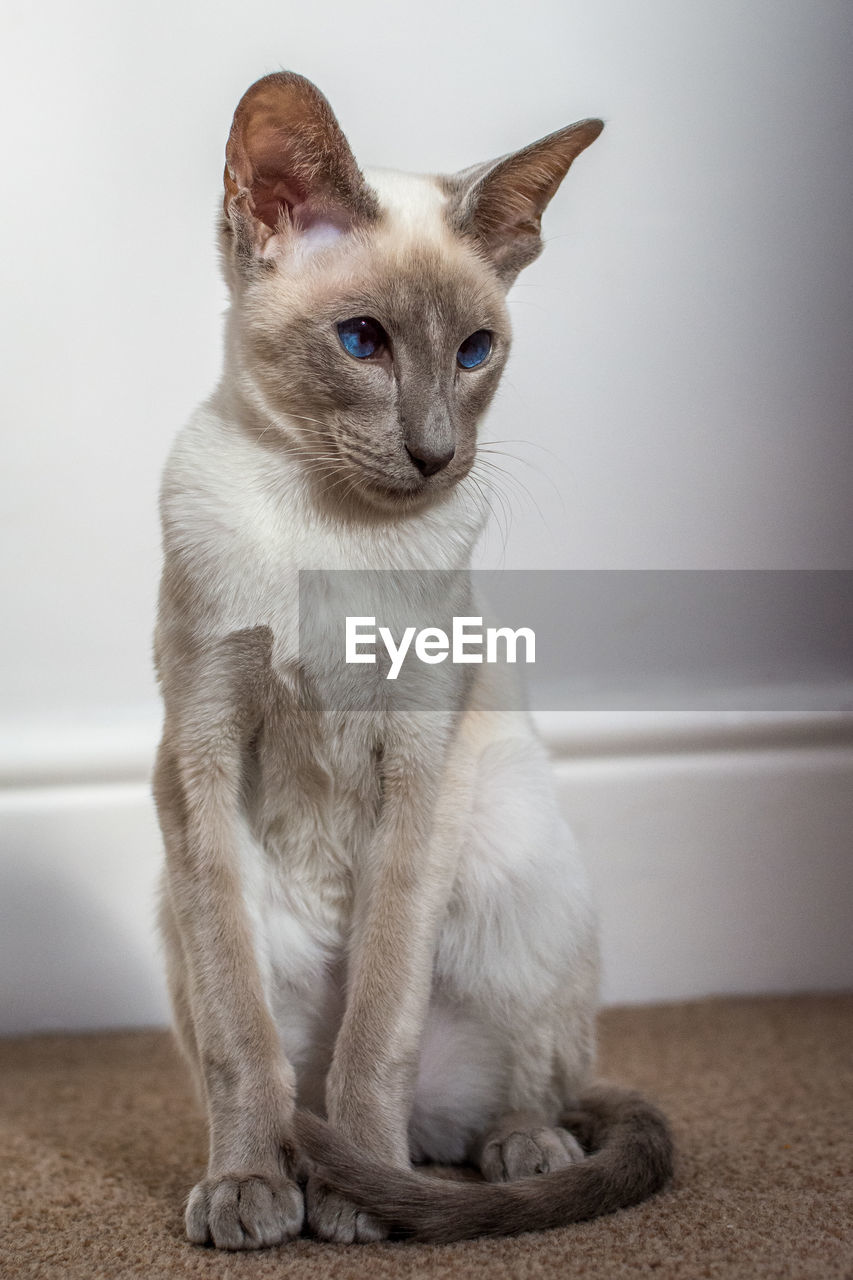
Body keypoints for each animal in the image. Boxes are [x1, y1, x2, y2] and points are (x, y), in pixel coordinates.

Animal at [153, 72, 671, 1249]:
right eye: (361, 340)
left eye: (475, 352)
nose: (436, 454)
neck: (325, 528)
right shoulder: (200, 752)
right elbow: (242, 1043)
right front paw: (251, 1186)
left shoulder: (416, 765)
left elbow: (377, 1028)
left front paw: (354, 1194)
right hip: (177, 904)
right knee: (271, 1063)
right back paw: (288, 1171)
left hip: (513, 867)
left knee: (526, 1098)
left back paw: (493, 1154)